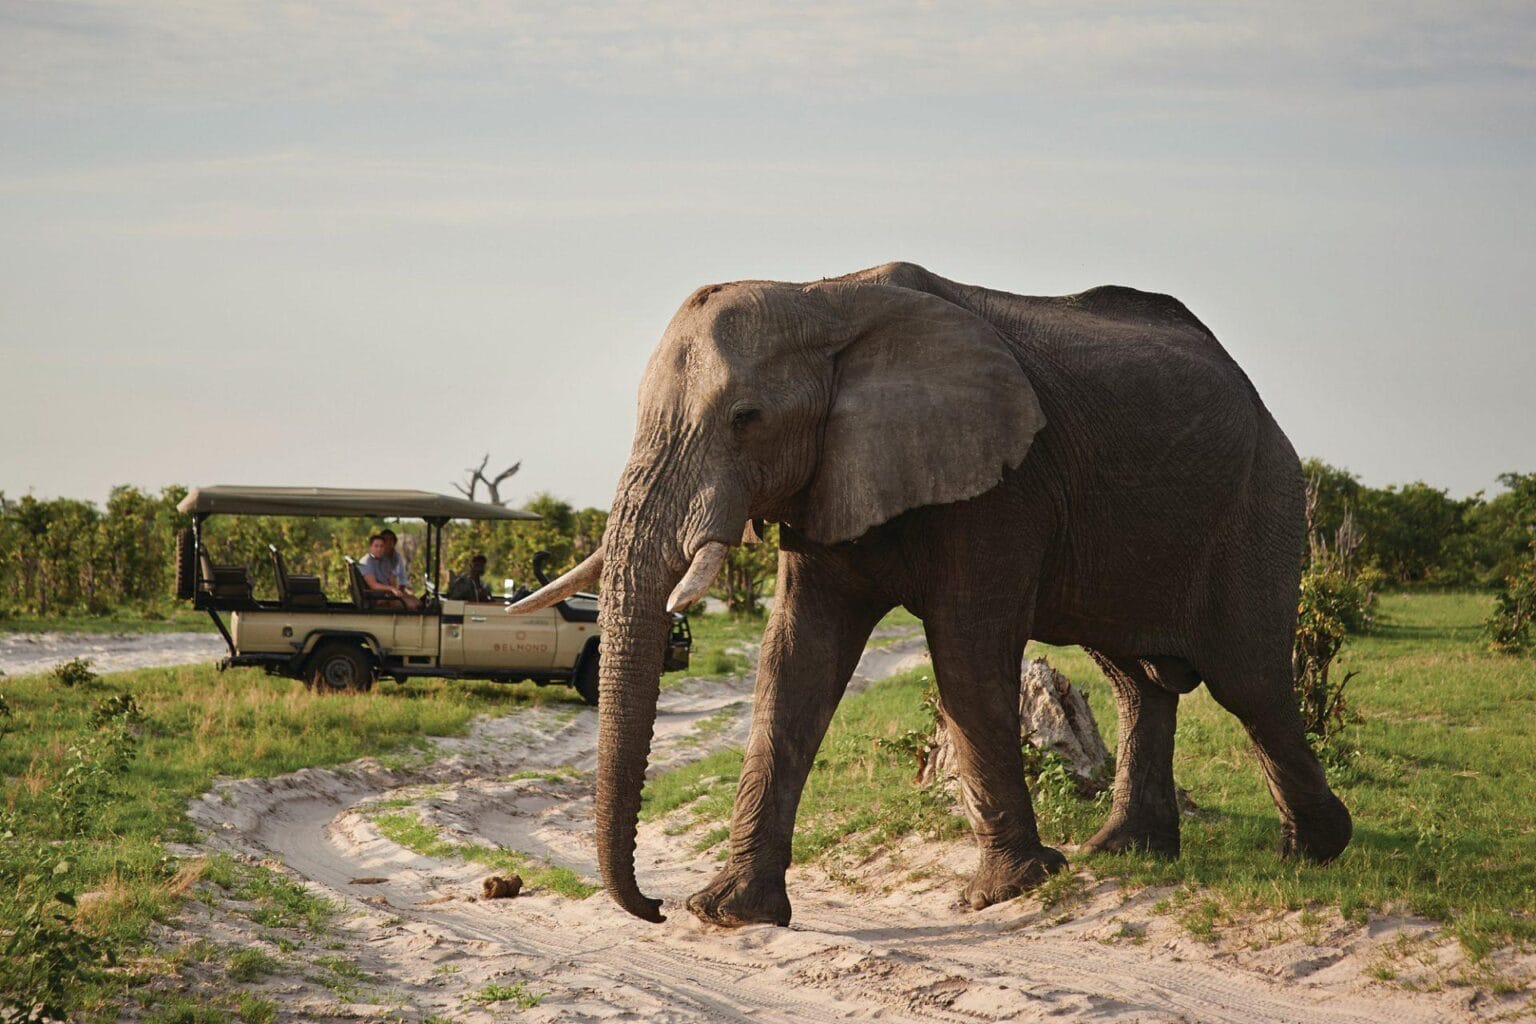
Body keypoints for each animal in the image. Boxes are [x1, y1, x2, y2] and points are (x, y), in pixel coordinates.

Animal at [512, 261, 1353, 927]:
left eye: (746, 419)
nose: (654, 906)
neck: (823, 297)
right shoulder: (830, 477)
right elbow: (795, 660)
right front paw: (730, 913)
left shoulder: (1001, 485)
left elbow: (967, 656)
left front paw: (1007, 893)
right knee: (1137, 679)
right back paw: (1125, 852)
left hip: (1265, 499)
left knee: (1250, 681)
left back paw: (1315, 853)